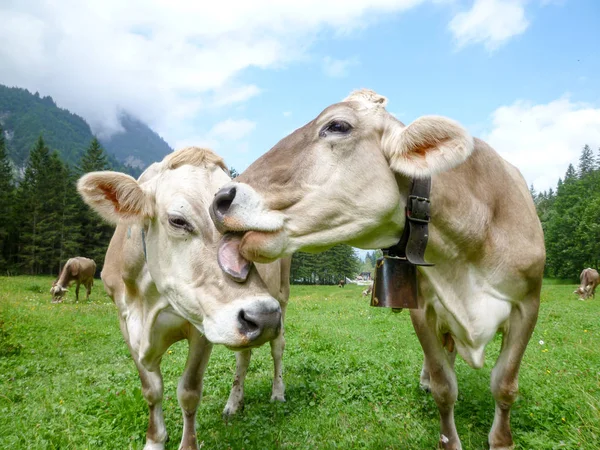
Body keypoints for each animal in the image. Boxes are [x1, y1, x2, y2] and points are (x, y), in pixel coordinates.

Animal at [78, 148, 290, 450]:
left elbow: (189, 392)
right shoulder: (124, 321)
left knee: (277, 348)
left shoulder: (201, 324)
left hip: (281, 297)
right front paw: (155, 439)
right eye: (178, 221)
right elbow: (151, 389)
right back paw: (234, 403)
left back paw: (277, 392)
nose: (264, 316)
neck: (149, 303)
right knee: (244, 356)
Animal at [209, 89, 548, 450]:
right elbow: (444, 387)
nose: (220, 198)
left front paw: (502, 439)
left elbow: (505, 385)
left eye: (338, 125)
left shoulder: (528, 305)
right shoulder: (422, 309)